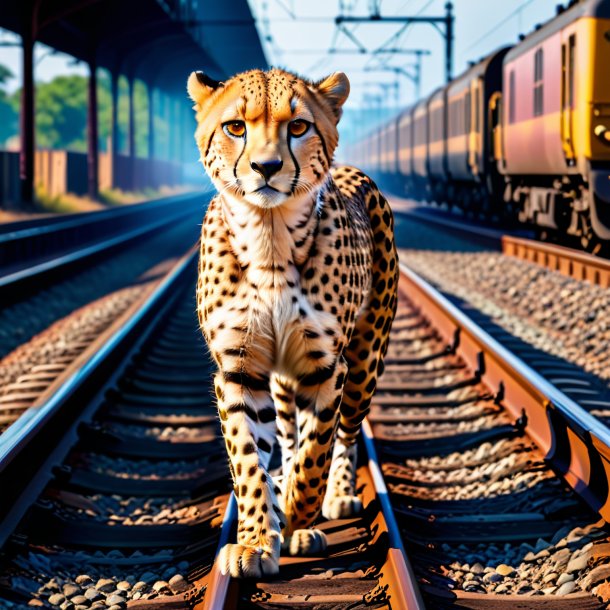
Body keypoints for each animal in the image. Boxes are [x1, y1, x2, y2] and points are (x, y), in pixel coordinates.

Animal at [188, 66, 396, 576]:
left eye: (298, 126)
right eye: (235, 127)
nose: (266, 167)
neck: (269, 237)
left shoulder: (327, 365)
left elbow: (317, 447)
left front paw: (300, 508)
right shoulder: (240, 369)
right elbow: (250, 461)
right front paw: (257, 540)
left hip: (364, 363)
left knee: (345, 433)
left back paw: (332, 498)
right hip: (284, 381)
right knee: (285, 432)